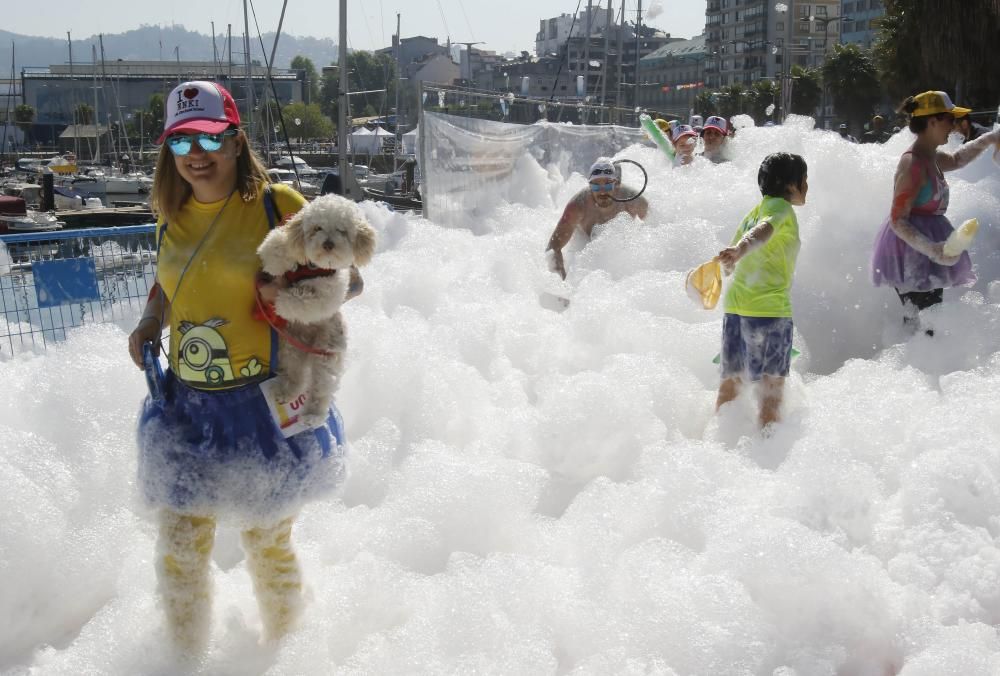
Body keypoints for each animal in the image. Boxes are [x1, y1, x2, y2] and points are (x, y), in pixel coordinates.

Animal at [258, 193, 376, 422]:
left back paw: (313, 416)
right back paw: (286, 392)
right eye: (317, 228)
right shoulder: (285, 241)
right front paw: (279, 261)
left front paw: (281, 302)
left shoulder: (331, 292)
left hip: (326, 355)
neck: (313, 268)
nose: (328, 244)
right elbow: (277, 244)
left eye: (342, 231)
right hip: (291, 349)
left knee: (321, 388)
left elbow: (306, 300)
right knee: (296, 377)